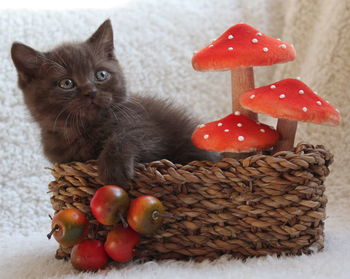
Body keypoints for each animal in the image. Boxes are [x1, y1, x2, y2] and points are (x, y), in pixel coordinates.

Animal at [10, 20, 216, 188]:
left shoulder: (147, 125)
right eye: (66, 83)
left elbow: (129, 135)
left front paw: (113, 168)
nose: (91, 92)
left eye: (101, 75)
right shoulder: (64, 159)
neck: (84, 129)